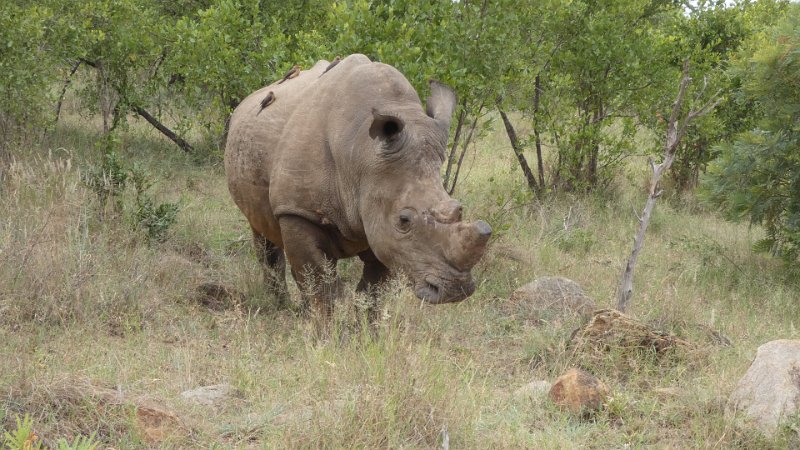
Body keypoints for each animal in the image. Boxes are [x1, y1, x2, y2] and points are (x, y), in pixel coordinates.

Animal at [224, 54, 491, 319]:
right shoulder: (297, 210)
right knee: (264, 236)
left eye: (459, 209)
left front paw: (365, 327)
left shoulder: (382, 226)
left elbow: (372, 291)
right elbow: (320, 286)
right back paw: (283, 308)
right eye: (404, 220)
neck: (361, 154)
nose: (455, 290)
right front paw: (326, 329)